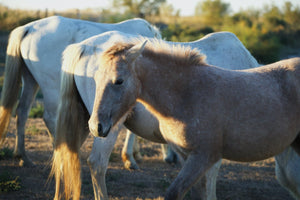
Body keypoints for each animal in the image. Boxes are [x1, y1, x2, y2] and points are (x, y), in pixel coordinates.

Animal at [55, 30, 300, 200]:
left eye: (118, 81)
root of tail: (83, 46)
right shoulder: (208, 152)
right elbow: (209, 180)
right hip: (107, 127)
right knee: (97, 164)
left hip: (85, 123)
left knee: (65, 157)